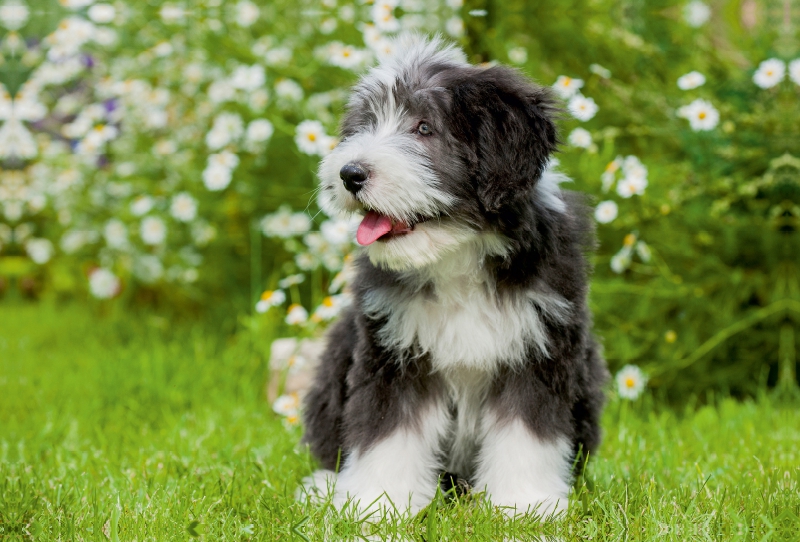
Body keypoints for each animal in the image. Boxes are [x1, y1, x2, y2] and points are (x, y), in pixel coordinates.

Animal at [300, 34, 608, 520]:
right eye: (364, 125)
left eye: (424, 128)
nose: (350, 173)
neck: (457, 254)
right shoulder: (393, 351)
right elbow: (388, 430)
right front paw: (376, 505)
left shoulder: (540, 348)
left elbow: (526, 431)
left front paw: (525, 506)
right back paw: (324, 487)